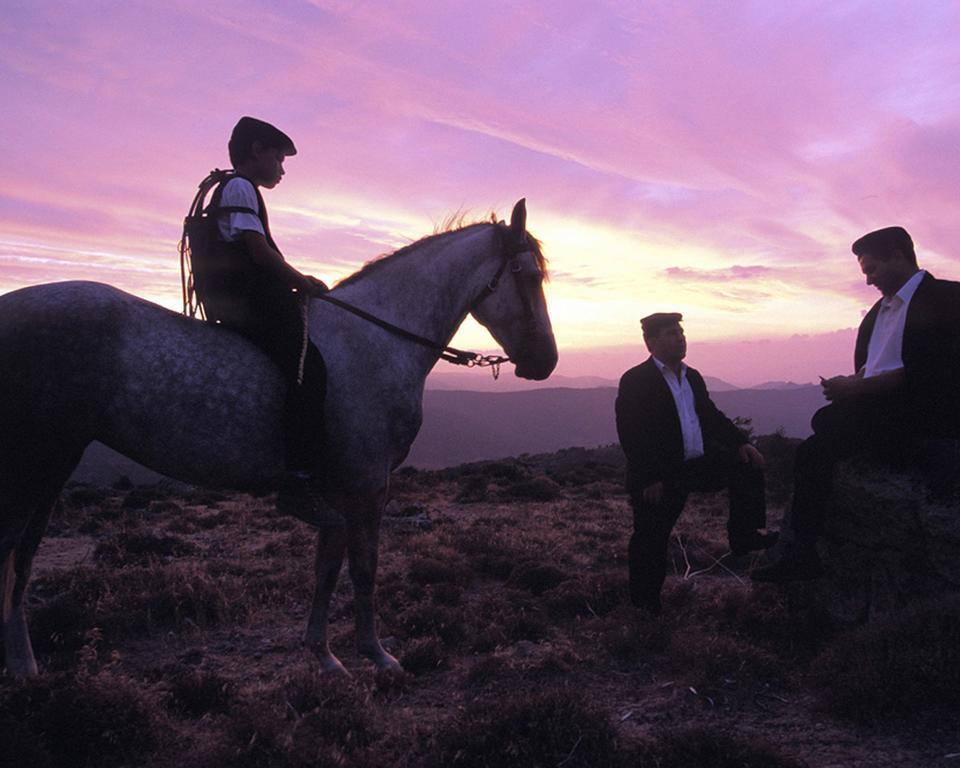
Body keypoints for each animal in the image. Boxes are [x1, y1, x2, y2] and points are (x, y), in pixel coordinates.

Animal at [0, 200, 556, 680]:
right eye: (529, 275)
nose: (546, 361)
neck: (378, 340)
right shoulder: (367, 483)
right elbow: (364, 568)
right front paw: (377, 656)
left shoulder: (335, 490)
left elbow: (326, 566)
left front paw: (324, 655)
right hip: (33, 462)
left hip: (54, 462)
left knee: (20, 563)